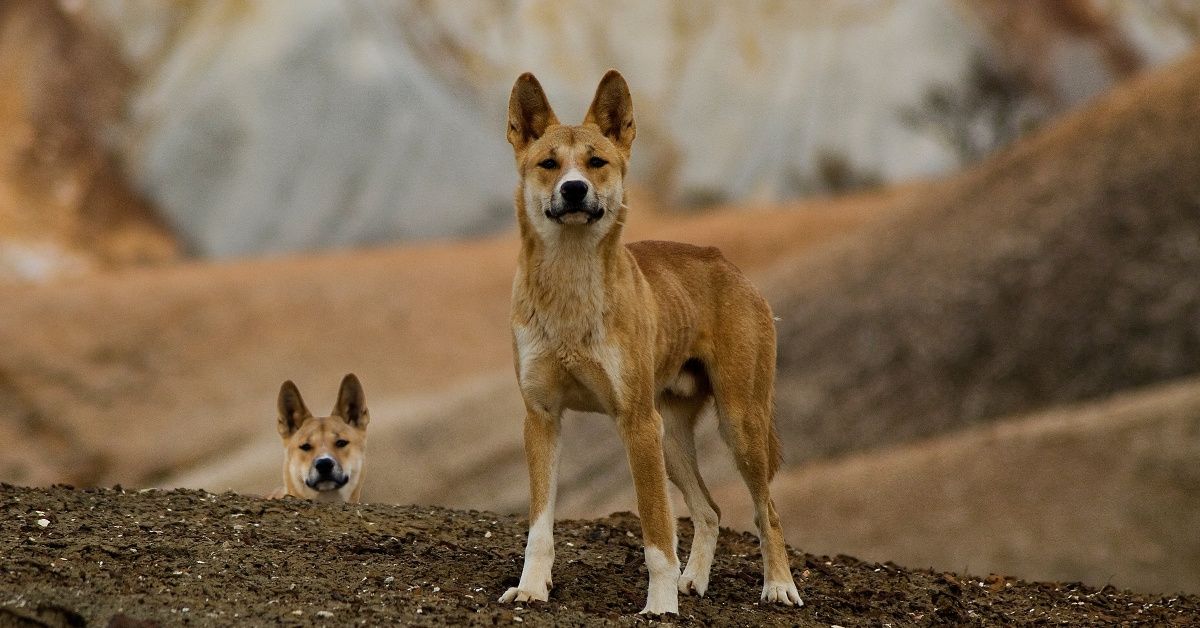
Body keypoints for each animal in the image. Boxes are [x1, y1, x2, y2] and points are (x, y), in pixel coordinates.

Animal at [501, 69, 801, 614]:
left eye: (596, 162)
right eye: (548, 164)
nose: (573, 189)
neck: (571, 294)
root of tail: (728, 264)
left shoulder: (636, 423)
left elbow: (657, 533)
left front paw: (659, 607)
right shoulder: (541, 418)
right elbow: (539, 529)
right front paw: (532, 588)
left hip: (737, 424)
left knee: (765, 509)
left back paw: (778, 586)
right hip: (673, 438)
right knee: (710, 510)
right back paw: (693, 581)